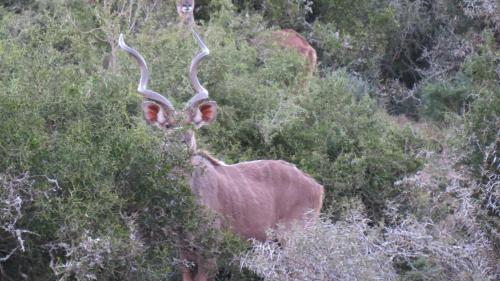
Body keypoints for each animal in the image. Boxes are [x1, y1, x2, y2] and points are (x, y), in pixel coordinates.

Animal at [120, 30, 324, 280]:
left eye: (191, 125)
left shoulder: (210, 253)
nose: (182, 144)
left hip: (294, 238)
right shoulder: (184, 253)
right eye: (167, 125)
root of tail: (318, 187)